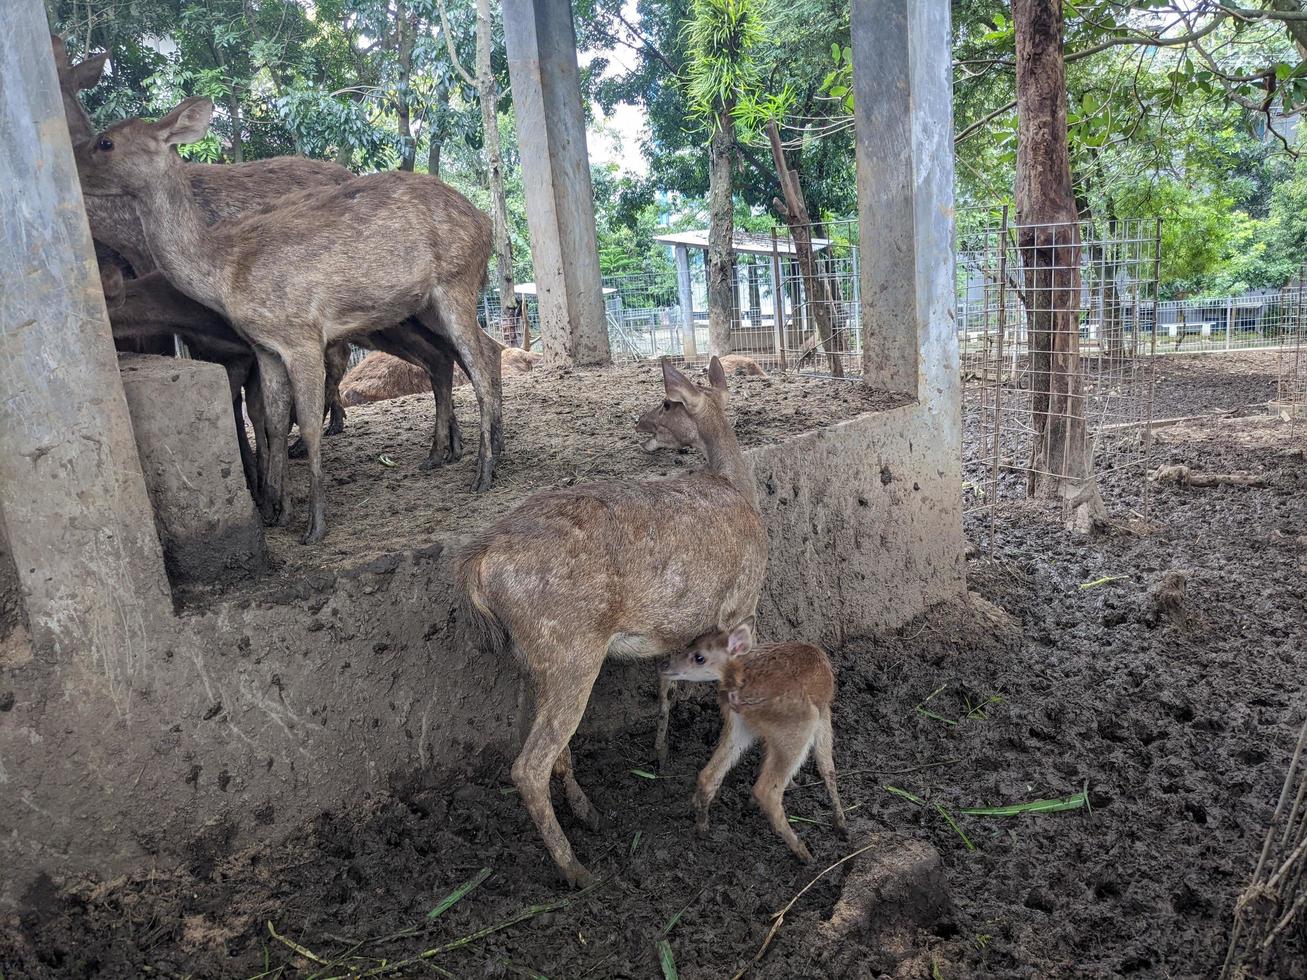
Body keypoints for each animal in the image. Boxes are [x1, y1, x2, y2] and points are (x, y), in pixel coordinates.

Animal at [457, 355, 763, 888]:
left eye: (666, 403)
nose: (639, 421)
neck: (739, 489)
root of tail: (479, 564)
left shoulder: (682, 628)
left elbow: (667, 685)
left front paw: (661, 755)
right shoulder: (743, 601)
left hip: (533, 657)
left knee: (545, 745)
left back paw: (588, 813)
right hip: (571, 649)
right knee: (528, 766)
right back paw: (576, 869)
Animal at [663, 624, 846, 862]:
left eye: (698, 655)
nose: (667, 666)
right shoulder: (824, 712)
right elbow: (827, 767)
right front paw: (840, 823)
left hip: (740, 728)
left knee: (708, 775)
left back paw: (702, 828)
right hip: (800, 725)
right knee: (767, 791)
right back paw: (805, 854)